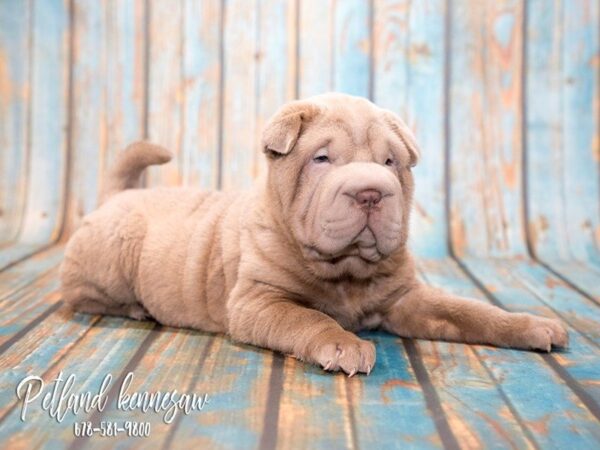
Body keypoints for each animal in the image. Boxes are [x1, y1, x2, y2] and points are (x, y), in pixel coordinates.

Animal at [61, 92, 568, 376]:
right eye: (322, 159)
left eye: (390, 163)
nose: (371, 193)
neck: (346, 272)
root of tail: (116, 196)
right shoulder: (259, 301)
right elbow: (306, 318)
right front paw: (343, 344)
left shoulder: (406, 298)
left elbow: (468, 310)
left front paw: (528, 323)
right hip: (108, 262)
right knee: (81, 295)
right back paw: (134, 309)